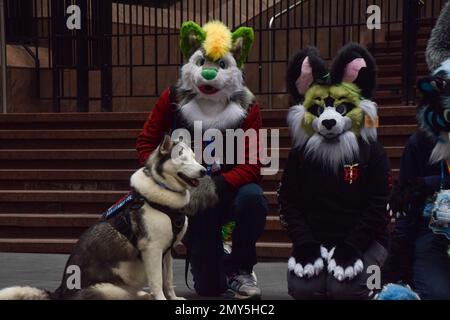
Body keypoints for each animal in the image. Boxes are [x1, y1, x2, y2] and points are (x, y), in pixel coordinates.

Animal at [0, 136, 207, 300]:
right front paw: (161, 299)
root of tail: (59, 293)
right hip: (111, 290)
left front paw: (173, 298)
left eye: (195, 158)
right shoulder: (152, 250)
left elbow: (168, 280)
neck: (164, 191)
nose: (204, 171)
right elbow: (157, 281)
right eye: (182, 158)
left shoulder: (167, 252)